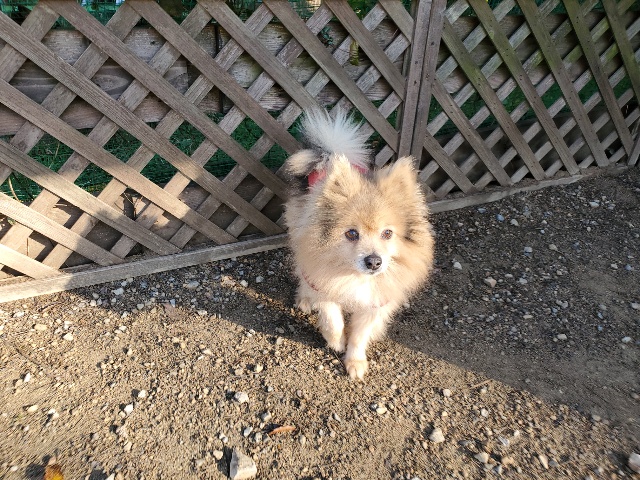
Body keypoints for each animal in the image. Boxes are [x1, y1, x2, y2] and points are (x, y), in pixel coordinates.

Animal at [283, 108, 435, 380]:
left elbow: (360, 334)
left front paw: (355, 361)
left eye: (387, 233)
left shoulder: (374, 302)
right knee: (301, 270)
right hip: (298, 233)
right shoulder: (323, 282)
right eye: (352, 233)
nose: (374, 261)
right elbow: (333, 320)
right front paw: (336, 342)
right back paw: (304, 299)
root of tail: (330, 152)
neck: (354, 275)